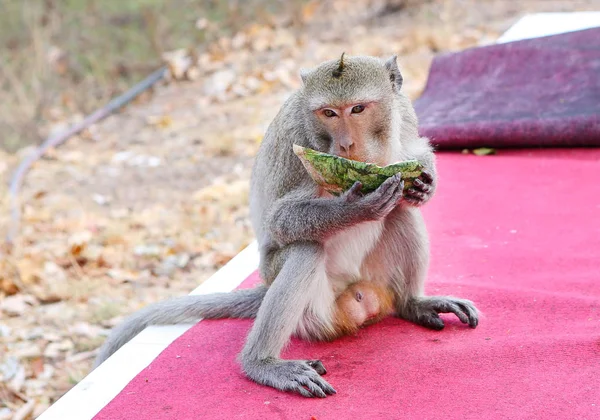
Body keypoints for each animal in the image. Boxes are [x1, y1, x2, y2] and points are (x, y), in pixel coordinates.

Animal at [94, 54, 478, 398]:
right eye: (328, 113)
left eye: (357, 109)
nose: (345, 144)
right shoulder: (299, 140)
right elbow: (278, 220)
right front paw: (354, 207)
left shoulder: (404, 110)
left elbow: (414, 154)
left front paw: (424, 185)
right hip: (315, 314)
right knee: (306, 250)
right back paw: (262, 363)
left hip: (373, 280)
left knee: (400, 213)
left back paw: (412, 303)